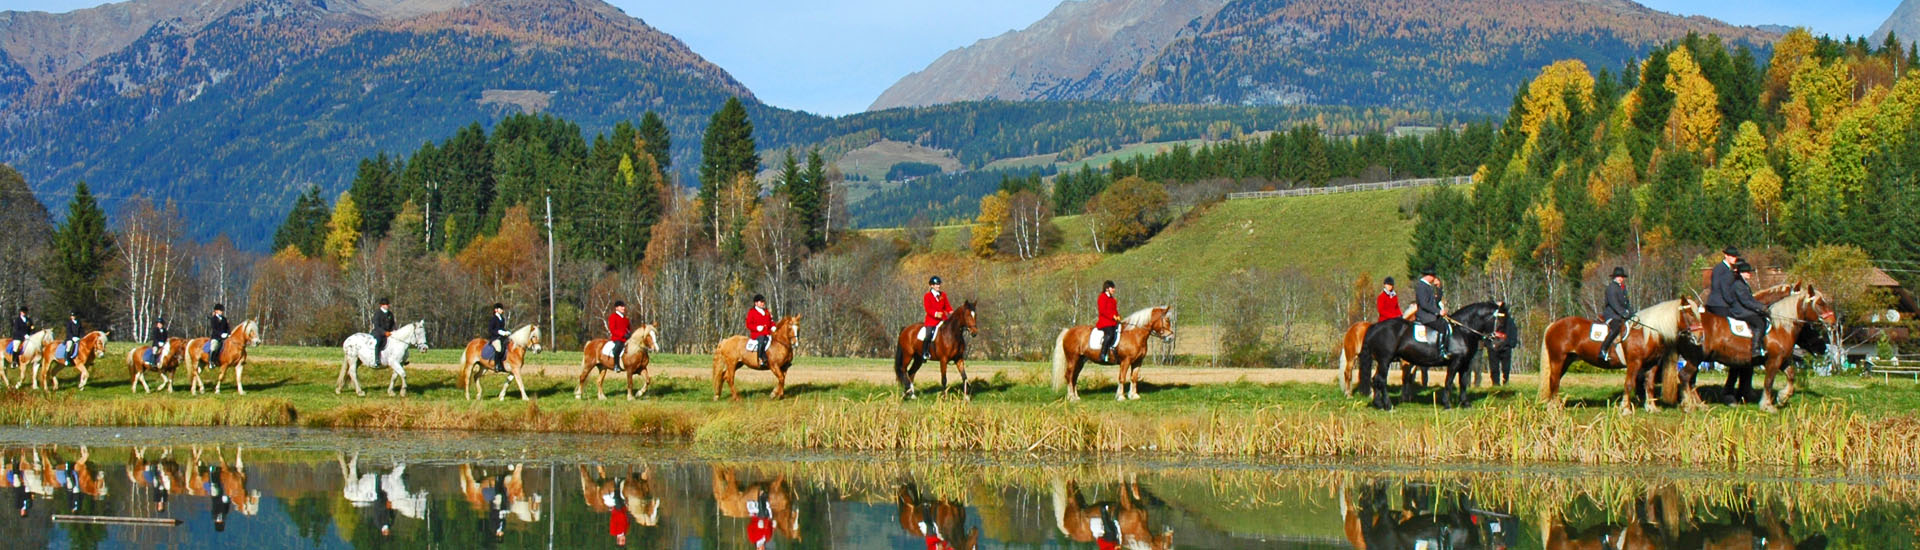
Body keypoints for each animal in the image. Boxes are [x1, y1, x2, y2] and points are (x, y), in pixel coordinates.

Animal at [1359, 300, 1505, 407]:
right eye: (1500, 321)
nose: (1499, 343)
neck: (1462, 330)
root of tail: (1374, 327)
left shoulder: (1465, 363)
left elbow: (1463, 382)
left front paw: (1465, 403)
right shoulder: (1455, 361)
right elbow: (1449, 381)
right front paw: (1447, 404)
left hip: (1381, 361)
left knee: (1375, 379)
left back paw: (1378, 404)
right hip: (1385, 360)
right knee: (1381, 380)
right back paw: (1388, 405)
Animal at [1536, 296, 1704, 411]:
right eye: (1690, 314)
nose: (1700, 337)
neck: (1647, 333)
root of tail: (1554, 324)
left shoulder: (1652, 364)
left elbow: (1649, 385)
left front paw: (1651, 408)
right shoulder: (1634, 363)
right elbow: (1629, 384)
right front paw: (1626, 409)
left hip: (1567, 360)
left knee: (1555, 381)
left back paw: (1555, 404)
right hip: (1558, 359)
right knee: (1554, 380)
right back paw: (1553, 407)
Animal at [1674, 286, 1835, 409]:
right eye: (1820, 303)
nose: (1832, 321)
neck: (1779, 327)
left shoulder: (1782, 359)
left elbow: (1791, 375)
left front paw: (1782, 398)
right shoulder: (1773, 360)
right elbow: (1768, 381)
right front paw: (1767, 405)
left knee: (1690, 380)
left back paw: (1697, 403)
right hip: (1695, 358)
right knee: (1685, 376)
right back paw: (1690, 405)